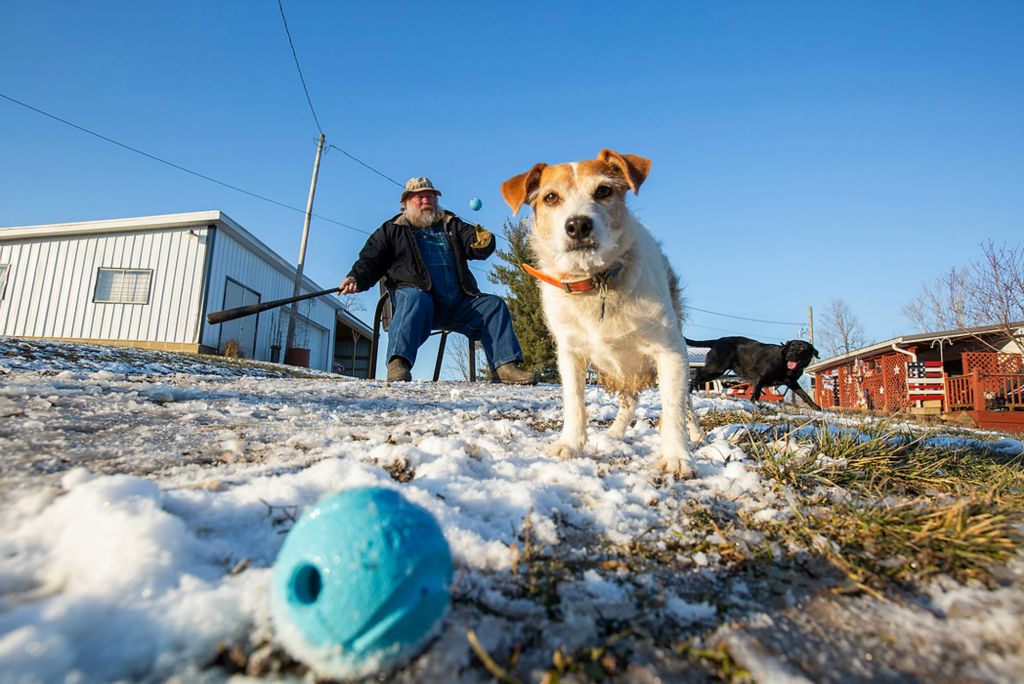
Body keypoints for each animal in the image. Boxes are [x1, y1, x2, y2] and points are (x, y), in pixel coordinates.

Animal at [501, 148, 704, 475]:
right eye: (551, 197)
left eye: (604, 191)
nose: (578, 225)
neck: (597, 282)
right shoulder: (570, 354)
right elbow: (574, 401)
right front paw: (570, 444)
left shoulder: (670, 352)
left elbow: (673, 407)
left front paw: (677, 455)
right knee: (629, 401)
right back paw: (614, 433)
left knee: (686, 404)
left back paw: (696, 434)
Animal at [688, 335, 823, 409]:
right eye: (791, 347)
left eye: (801, 348)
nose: (790, 355)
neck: (784, 362)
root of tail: (717, 341)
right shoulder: (760, 378)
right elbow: (756, 394)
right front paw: (754, 405)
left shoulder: (792, 382)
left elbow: (805, 396)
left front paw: (817, 408)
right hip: (717, 366)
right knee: (697, 371)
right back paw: (694, 386)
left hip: (716, 371)